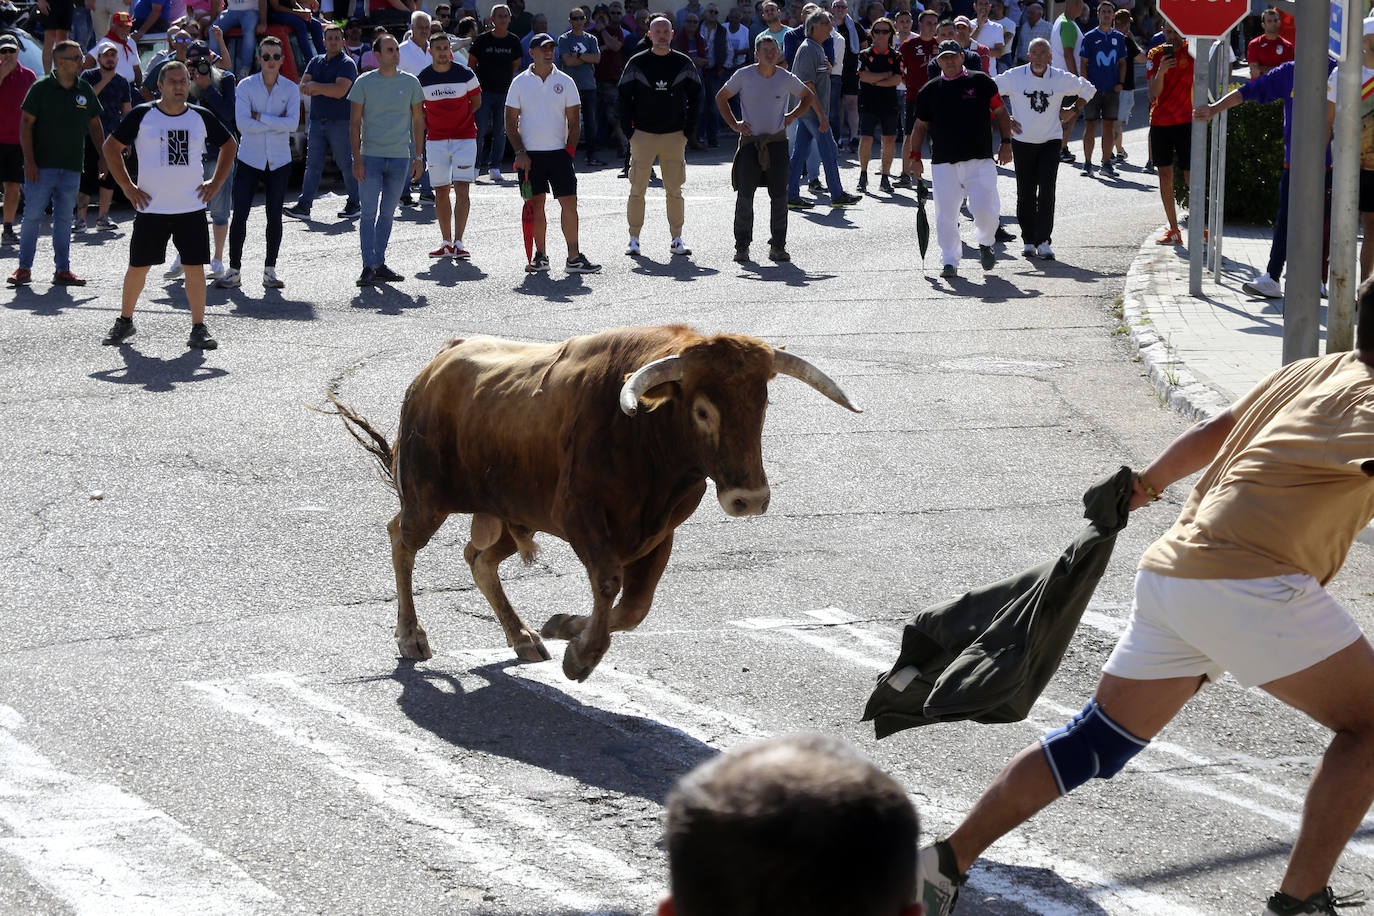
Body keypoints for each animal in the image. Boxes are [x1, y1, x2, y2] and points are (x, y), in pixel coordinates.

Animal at [327, 322, 857, 681]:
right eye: (703, 410)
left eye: (762, 403)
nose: (750, 498)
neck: (645, 442)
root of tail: (441, 360)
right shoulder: (581, 518)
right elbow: (608, 583)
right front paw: (582, 655)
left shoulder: (659, 532)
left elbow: (636, 606)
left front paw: (564, 627)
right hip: (427, 499)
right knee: (402, 541)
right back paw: (411, 636)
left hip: (511, 511)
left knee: (479, 559)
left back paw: (522, 636)